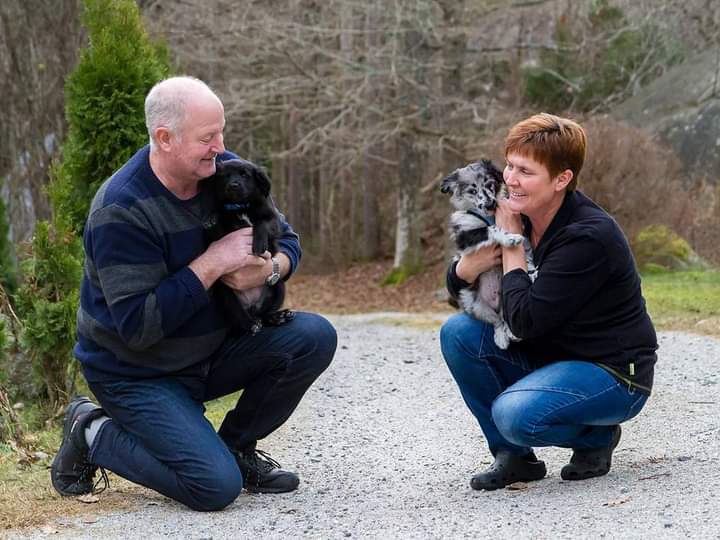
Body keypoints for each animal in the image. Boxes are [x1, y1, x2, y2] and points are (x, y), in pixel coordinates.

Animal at [201, 157, 294, 334]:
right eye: (225, 176)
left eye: (244, 175)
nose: (233, 185)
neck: (241, 206)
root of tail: (252, 307)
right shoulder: (224, 234)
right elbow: (218, 225)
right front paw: (212, 219)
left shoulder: (272, 219)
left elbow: (261, 224)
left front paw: (259, 244)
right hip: (226, 294)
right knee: (240, 316)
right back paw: (251, 324)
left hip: (278, 286)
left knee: (265, 314)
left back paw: (277, 317)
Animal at [438, 158, 536, 348]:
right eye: (472, 191)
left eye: (490, 184)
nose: (491, 204)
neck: (488, 216)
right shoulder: (465, 236)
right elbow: (490, 229)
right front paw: (509, 238)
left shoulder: (521, 227)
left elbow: (526, 253)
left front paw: (532, 271)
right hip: (474, 305)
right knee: (496, 321)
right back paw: (501, 337)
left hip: (505, 299)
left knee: (505, 318)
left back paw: (511, 333)